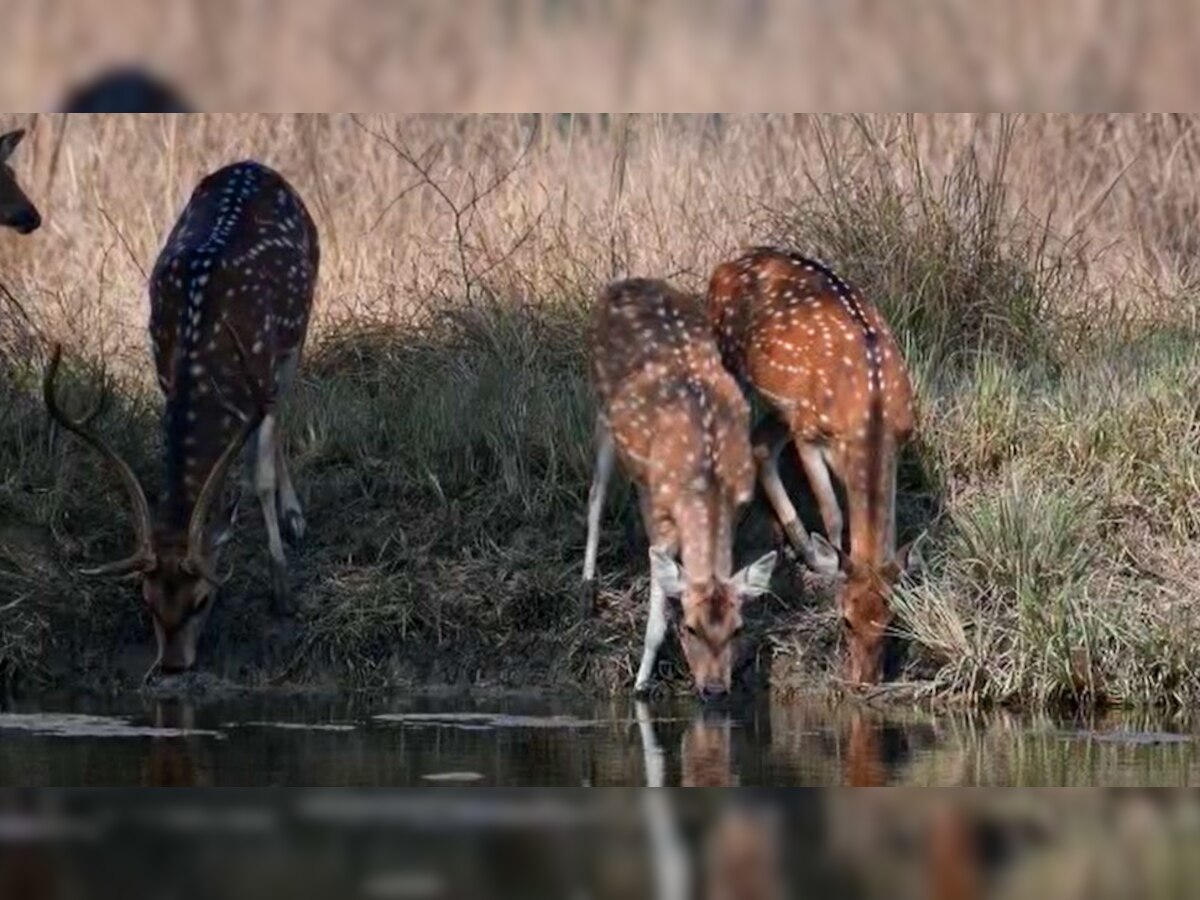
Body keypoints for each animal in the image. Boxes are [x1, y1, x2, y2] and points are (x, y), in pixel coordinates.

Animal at [46, 158, 319, 672]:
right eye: (147, 599)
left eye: (202, 600)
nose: (173, 664)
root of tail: (252, 163)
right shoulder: (164, 370)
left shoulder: (263, 365)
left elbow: (260, 477)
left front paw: (282, 591)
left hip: (301, 319)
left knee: (283, 410)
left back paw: (295, 517)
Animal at [583, 278, 777, 700]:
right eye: (689, 627)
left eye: (738, 628)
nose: (714, 688)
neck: (708, 483)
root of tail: (621, 283)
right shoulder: (662, 520)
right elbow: (656, 621)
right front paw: (641, 683)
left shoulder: (737, 508)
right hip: (602, 407)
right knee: (595, 495)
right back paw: (587, 588)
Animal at [705, 247, 921, 681]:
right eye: (845, 619)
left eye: (891, 622)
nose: (864, 682)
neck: (870, 415)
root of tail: (727, 265)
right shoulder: (809, 432)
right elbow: (833, 512)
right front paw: (827, 559)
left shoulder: (901, 436)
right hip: (733, 364)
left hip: (782, 406)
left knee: (760, 444)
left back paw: (794, 539)